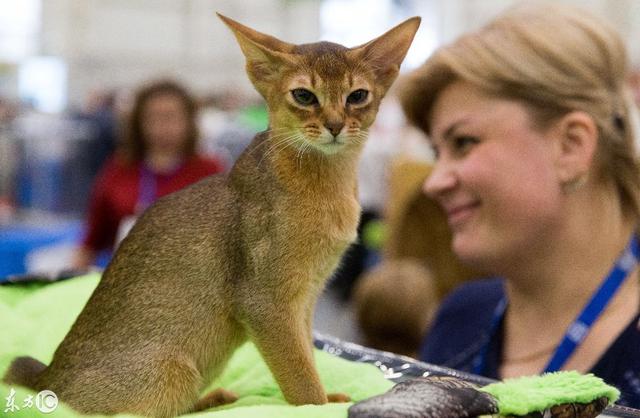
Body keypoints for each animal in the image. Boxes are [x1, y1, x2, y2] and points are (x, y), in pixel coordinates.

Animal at [3, 13, 420, 418]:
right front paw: (321, 404)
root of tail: (45, 377)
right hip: (174, 371)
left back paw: (215, 398)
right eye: (304, 95)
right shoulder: (266, 302)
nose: (335, 125)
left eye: (357, 95)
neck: (328, 183)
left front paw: (330, 396)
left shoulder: (305, 300)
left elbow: (307, 355)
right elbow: (300, 377)